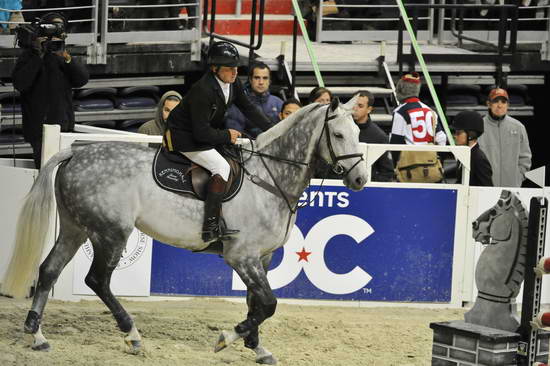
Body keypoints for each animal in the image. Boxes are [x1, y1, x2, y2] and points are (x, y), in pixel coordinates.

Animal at [3, 96, 370, 364]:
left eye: (359, 134)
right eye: (338, 136)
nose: (360, 180)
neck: (270, 176)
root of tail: (73, 154)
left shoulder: (262, 258)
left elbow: (256, 303)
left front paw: (257, 347)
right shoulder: (242, 257)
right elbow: (267, 304)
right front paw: (227, 338)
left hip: (75, 228)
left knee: (49, 271)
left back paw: (37, 336)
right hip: (111, 232)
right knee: (97, 280)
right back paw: (132, 335)